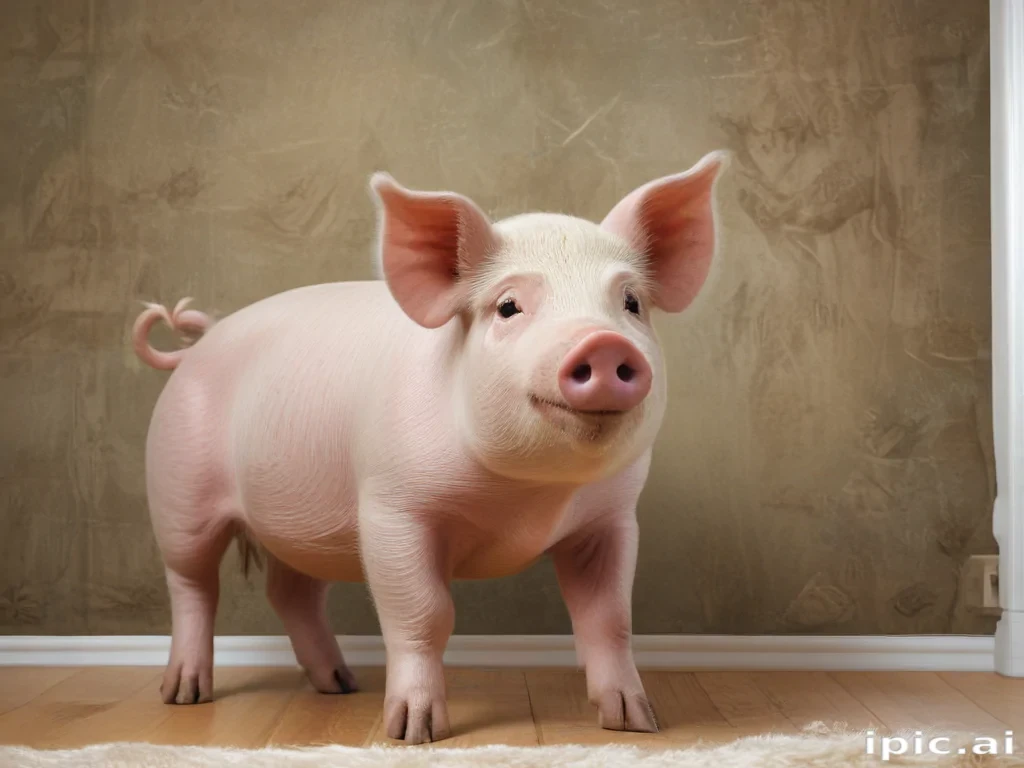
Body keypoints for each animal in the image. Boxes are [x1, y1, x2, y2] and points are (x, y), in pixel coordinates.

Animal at [132, 151, 727, 744]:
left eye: (631, 302)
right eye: (508, 307)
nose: (603, 344)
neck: (527, 497)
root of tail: (199, 343)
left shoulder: (611, 518)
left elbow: (609, 618)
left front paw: (637, 722)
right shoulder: (392, 509)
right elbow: (425, 613)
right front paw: (413, 732)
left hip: (299, 524)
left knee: (291, 592)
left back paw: (339, 684)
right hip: (178, 488)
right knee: (193, 584)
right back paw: (184, 694)